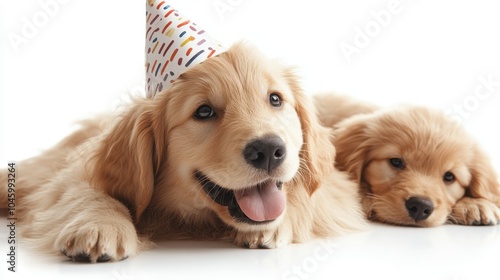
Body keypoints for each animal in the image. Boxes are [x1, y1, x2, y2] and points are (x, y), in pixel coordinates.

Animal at [0, 43, 368, 262]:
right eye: (203, 112)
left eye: (275, 99)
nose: (269, 150)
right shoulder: (71, 175)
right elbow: (88, 192)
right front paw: (99, 225)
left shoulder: (336, 184)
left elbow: (308, 194)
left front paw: (273, 225)